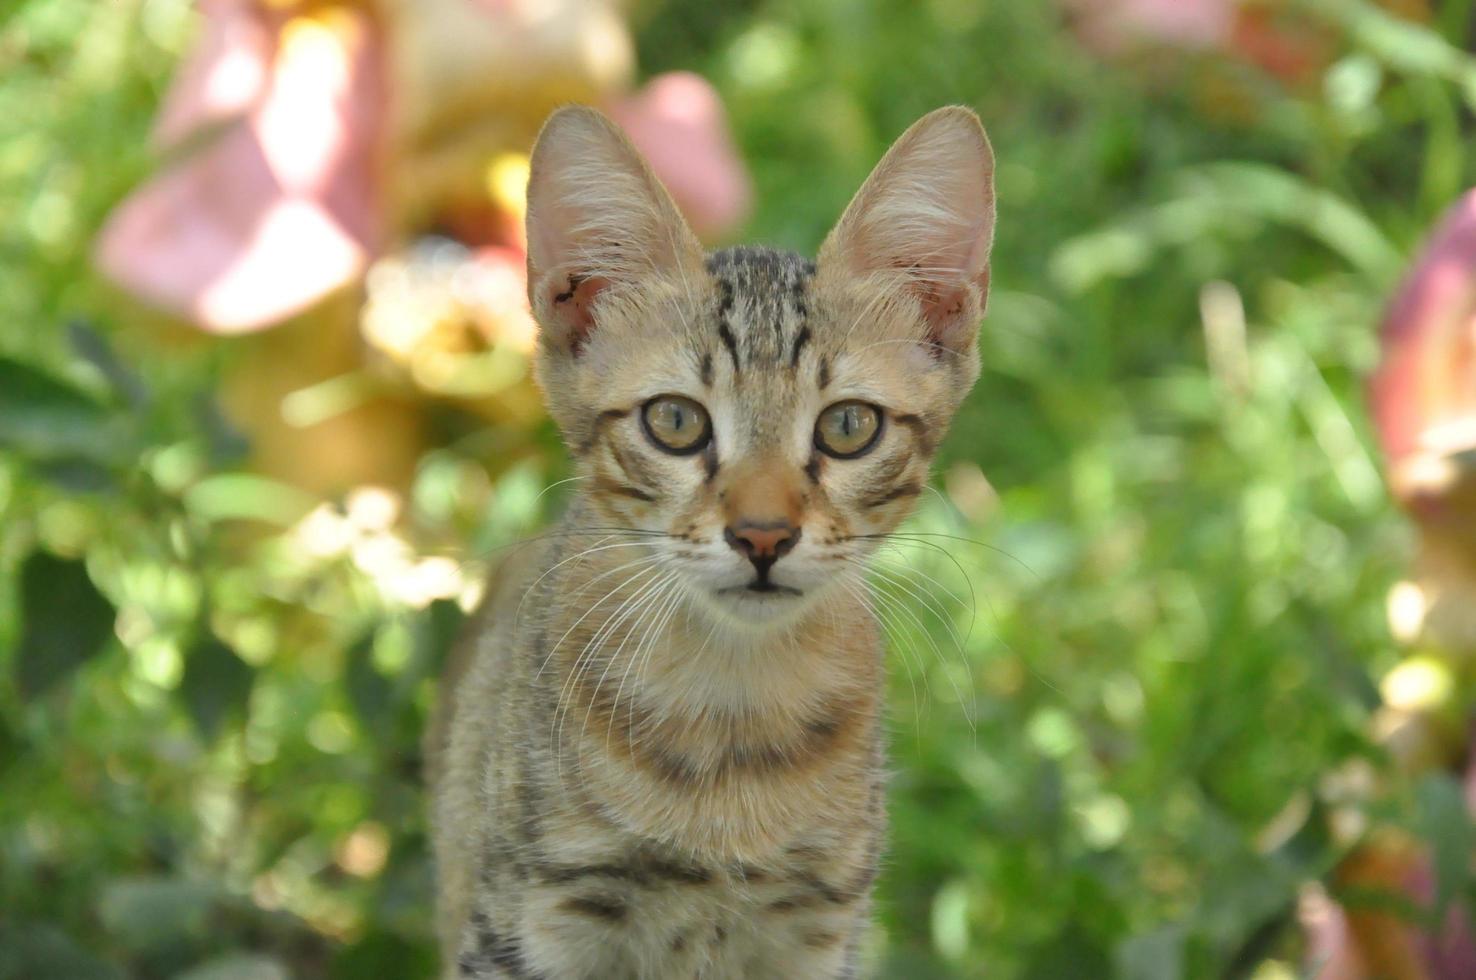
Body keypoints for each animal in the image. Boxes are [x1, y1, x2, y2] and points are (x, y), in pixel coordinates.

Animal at [430, 103, 997, 974]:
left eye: (848, 427)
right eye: (674, 420)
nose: (762, 535)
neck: (730, 709)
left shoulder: (820, 928)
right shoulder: (527, 922)